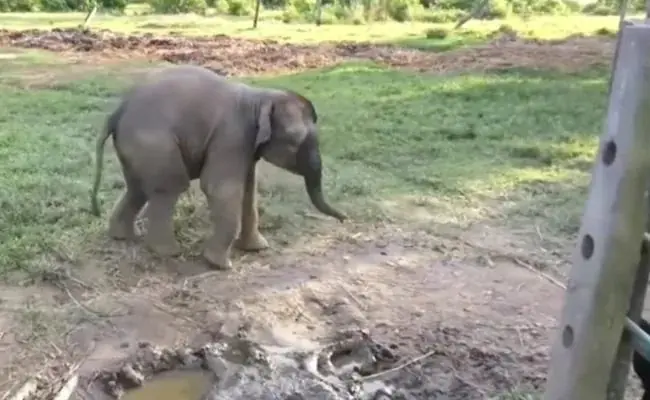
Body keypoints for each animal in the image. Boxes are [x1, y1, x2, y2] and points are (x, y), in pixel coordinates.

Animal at [90, 65, 346, 269]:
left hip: (136, 147)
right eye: (295, 141)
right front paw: (220, 264)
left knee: (138, 188)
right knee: (170, 187)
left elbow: (248, 190)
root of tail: (117, 111)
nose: (344, 218)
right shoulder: (232, 136)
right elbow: (219, 187)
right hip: (154, 143)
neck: (260, 98)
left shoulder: (246, 146)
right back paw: (169, 252)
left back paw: (124, 237)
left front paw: (257, 248)